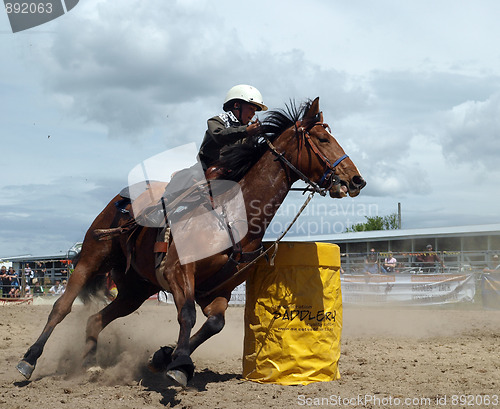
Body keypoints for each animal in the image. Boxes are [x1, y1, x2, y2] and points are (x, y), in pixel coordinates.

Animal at [16, 97, 368, 384]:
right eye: (322, 138)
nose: (356, 180)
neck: (232, 215)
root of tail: (120, 201)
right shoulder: (177, 271)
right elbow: (187, 314)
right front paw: (178, 364)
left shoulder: (217, 290)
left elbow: (214, 324)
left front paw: (165, 359)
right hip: (90, 258)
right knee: (61, 307)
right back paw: (29, 360)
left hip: (134, 290)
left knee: (94, 320)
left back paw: (88, 366)